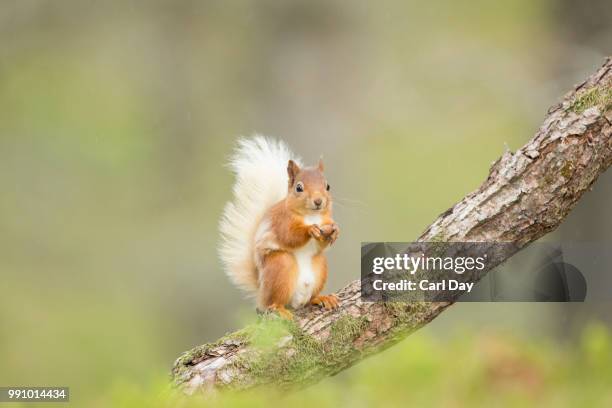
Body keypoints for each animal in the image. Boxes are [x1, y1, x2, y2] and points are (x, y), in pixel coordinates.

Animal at [219, 137, 340, 318]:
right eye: (299, 188)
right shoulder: (281, 222)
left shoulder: (325, 220)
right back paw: (279, 308)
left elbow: (323, 242)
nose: (319, 201)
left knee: (310, 298)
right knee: (274, 302)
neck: (311, 216)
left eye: (328, 186)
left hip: (320, 266)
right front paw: (309, 230)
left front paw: (335, 231)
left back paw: (322, 298)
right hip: (281, 266)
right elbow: (289, 236)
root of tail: (261, 293)